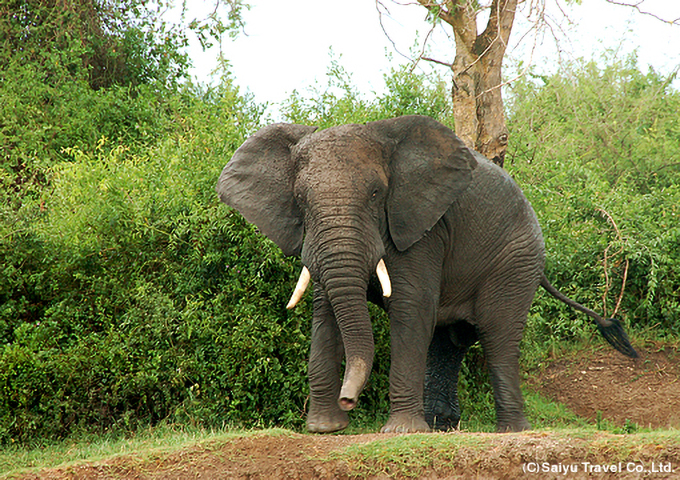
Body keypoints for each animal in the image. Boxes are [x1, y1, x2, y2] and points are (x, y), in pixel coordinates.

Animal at [216, 114, 636, 434]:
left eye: (375, 194)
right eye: (301, 200)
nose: (348, 400)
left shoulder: (422, 228)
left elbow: (410, 308)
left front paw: (399, 432)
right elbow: (325, 312)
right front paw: (324, 429)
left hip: (517, 260)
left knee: (497, 334)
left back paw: (509, 431)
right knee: (450, 338)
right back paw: (440, 426)